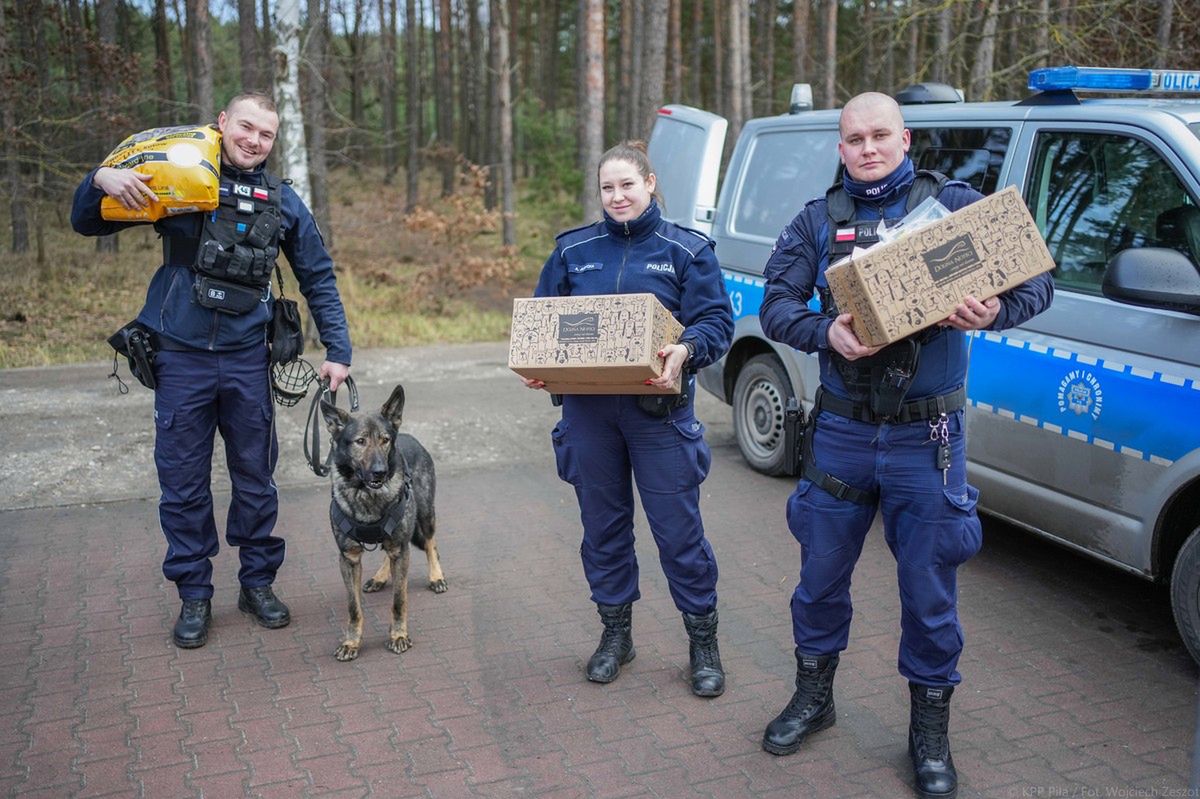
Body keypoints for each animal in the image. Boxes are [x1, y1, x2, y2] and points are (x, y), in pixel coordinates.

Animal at [321, 381, 448, 657]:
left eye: (385, 440)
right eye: (360, 441)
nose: (380, 471)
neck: (366, 494)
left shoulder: (401, 550)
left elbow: (399, 600)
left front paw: (399, 635)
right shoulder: (349, 558)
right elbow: (353, 607)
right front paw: (351, 641)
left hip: (425, 514)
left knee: (431, 543)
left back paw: (436, 576)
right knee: (387, 553)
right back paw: (380, 577)